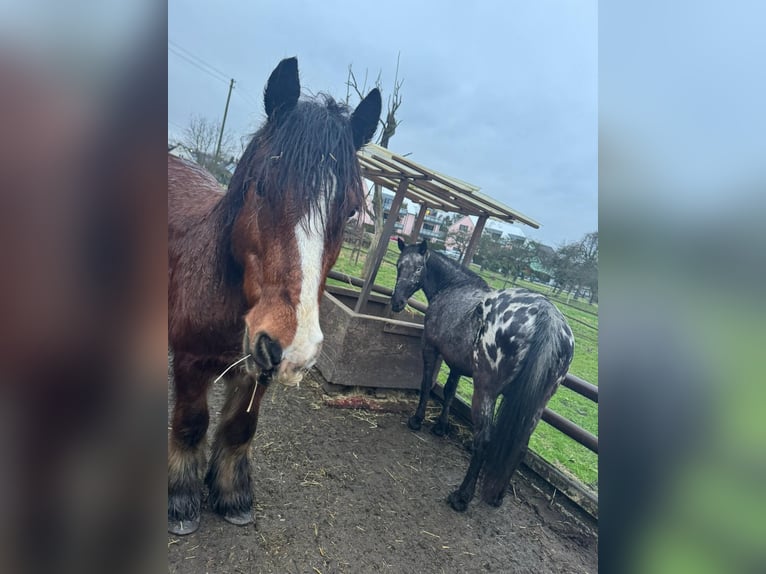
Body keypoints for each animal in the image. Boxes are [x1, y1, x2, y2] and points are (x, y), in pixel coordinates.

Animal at [169, 58, 384, 536]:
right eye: (263, 185)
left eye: (350, 209)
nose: (295, 346)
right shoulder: (190, 363)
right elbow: (192, 425)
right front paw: (181, 501)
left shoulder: (255, 369)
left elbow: (240, 428)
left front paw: (232, 496)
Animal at [392, 238, 572, 512]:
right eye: (399, 265)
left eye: (418, 267)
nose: (396, 302)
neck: (453, 288)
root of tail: (547, 317)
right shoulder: (457, 363)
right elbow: (449, 390)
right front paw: (441, 427)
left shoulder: (430, 349)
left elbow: (426, 384)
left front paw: (417, 420)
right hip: (537, 405)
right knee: (520, 447)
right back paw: (497, 496)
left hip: (485, 390)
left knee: (484, 439)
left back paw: (461, 496)